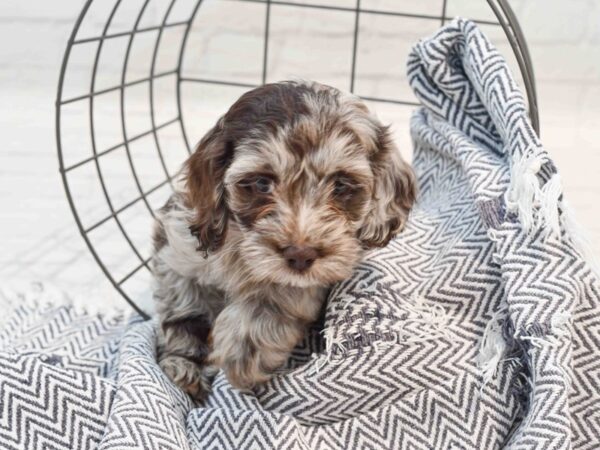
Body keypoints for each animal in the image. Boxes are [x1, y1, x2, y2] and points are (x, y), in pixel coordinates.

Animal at [154, 79, 418, 400]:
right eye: (261, 183)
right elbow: (184, 307)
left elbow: (279, 294)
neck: (239, 244)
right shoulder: (177, 249)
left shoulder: (310, 281)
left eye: (341, 185)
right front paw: (184, 364)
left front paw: (243, 348)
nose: (300, 256)